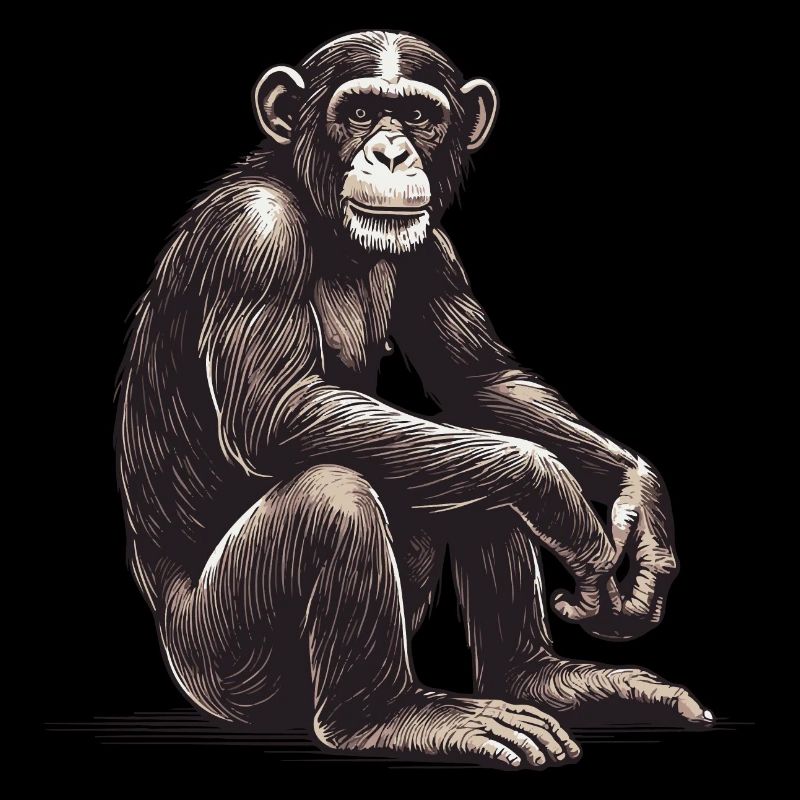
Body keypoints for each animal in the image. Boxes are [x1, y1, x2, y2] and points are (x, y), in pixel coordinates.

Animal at [115, 30, 712, 770]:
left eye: (420, 116)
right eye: (361, 112)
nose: (394, 152)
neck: (319, 215)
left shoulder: (437, 251)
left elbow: (477, 381)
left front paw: (643, 505)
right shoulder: (252, 238)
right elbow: (276, 411)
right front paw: (558, 494)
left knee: (468, 465)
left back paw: (541, 679)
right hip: (222, 661)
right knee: (333, 495)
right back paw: (387, 717)